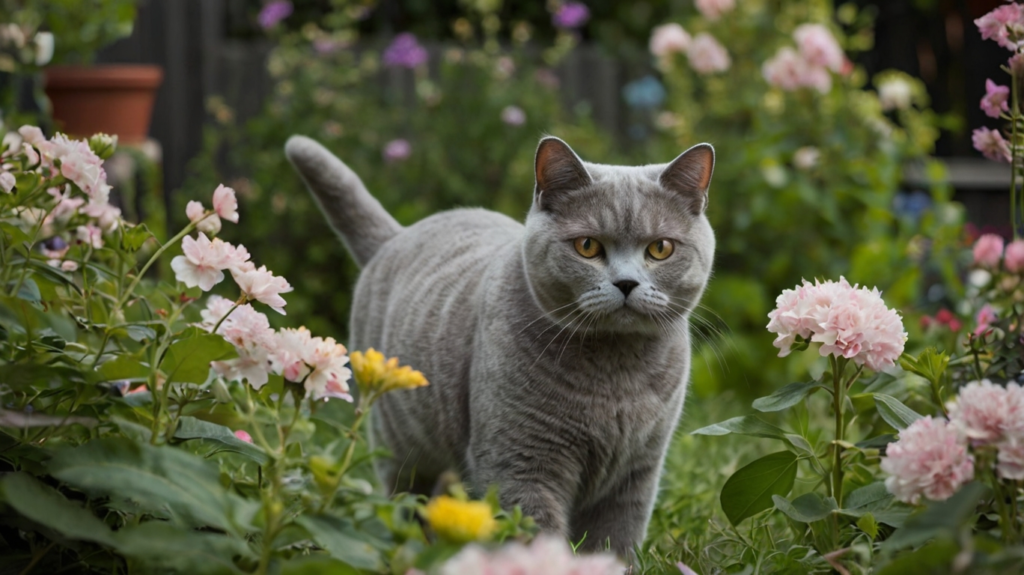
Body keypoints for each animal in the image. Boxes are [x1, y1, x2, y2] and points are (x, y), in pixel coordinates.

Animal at [284, 135, 716, 556]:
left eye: (660, 248)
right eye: (587, 246)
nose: (626, 282)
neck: (615, 375)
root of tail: (398, 234)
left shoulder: (635, 474)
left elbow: (616, 543)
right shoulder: (519, 463)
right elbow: (533, 536)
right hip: (401, 444)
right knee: (406, 504)